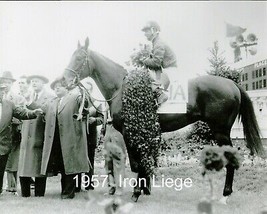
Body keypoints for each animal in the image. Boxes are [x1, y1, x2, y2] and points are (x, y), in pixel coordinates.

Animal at [63, 38, 266, 202]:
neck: (122, 87)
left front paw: (136, 193)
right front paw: (144, 189)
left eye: (79, 58)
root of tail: (232, 83)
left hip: (221, 131)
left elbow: (137, 163)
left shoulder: (130, 133)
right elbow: (144, 161)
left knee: (231, 159)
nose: (65, 80)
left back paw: (225, 195)